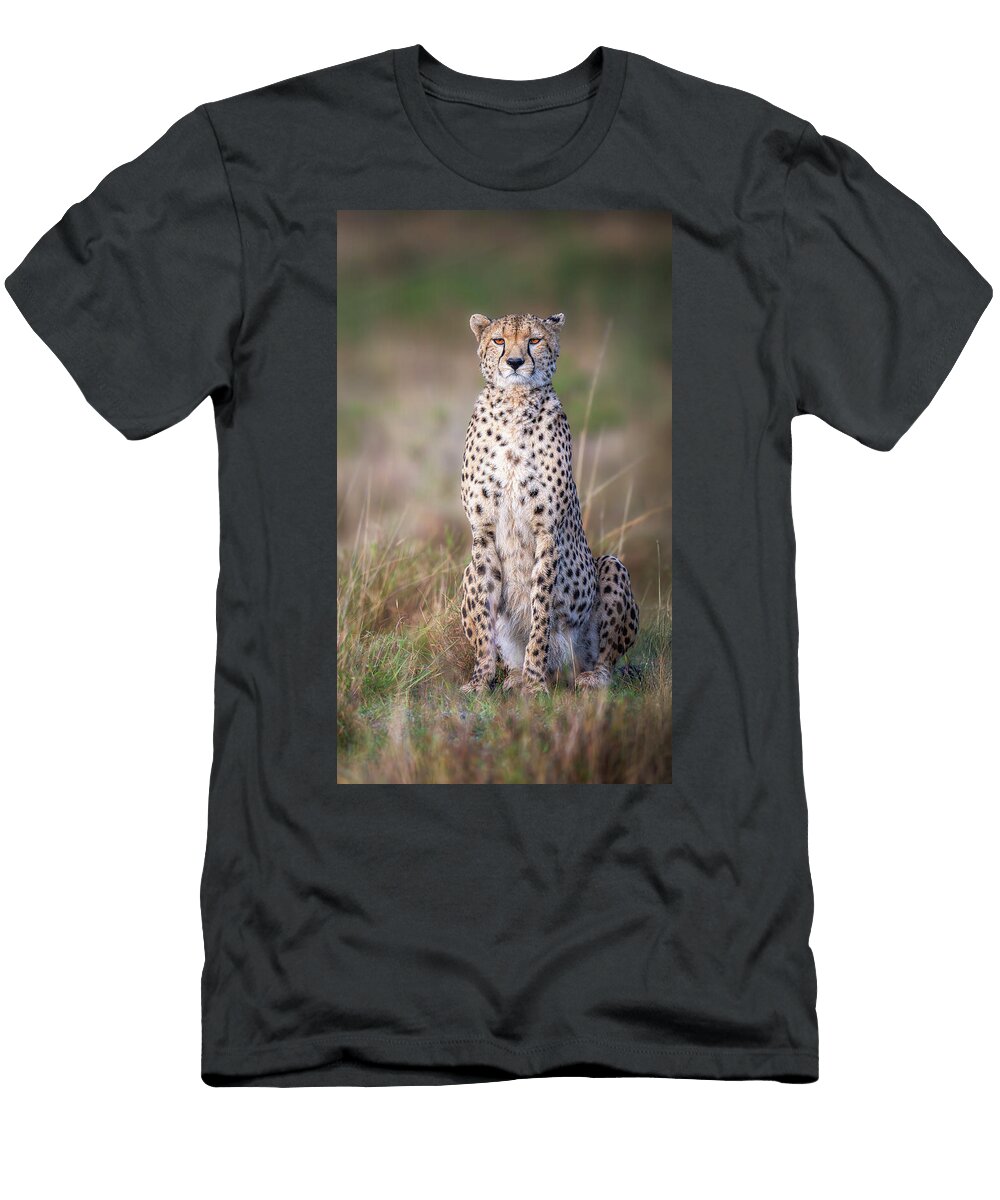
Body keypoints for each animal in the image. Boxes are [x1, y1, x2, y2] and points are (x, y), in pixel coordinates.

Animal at [459, 311, 639, 695]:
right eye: (499, 340)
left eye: (535, 340)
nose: (514, 362)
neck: (514, 404)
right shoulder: (482, 532)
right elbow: (484, 618)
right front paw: (481, 680)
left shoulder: (547, 532)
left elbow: (540, 609)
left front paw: (535, 682)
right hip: (466, 571)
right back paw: (511, 675)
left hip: (611, 567)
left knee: (606, 660)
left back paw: (589, 677)